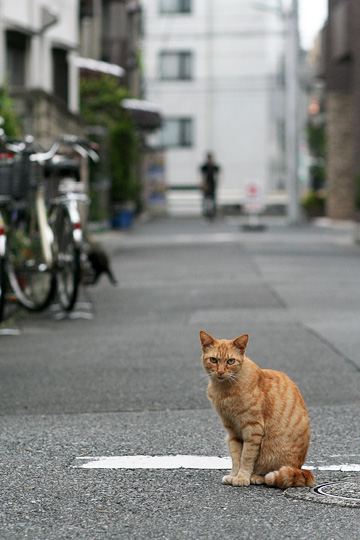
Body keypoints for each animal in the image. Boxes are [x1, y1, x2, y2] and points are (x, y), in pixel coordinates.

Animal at [200, 330, 316, 490]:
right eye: (213, 360)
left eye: (230, 361)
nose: (221, 372)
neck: (224, 390)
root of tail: (300, 468)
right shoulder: (232, 432)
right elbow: (236, 457)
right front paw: (234, 475)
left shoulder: (253, 429)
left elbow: (246, 457)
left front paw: (242, 477)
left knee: (272, 474)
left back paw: (256, 477)